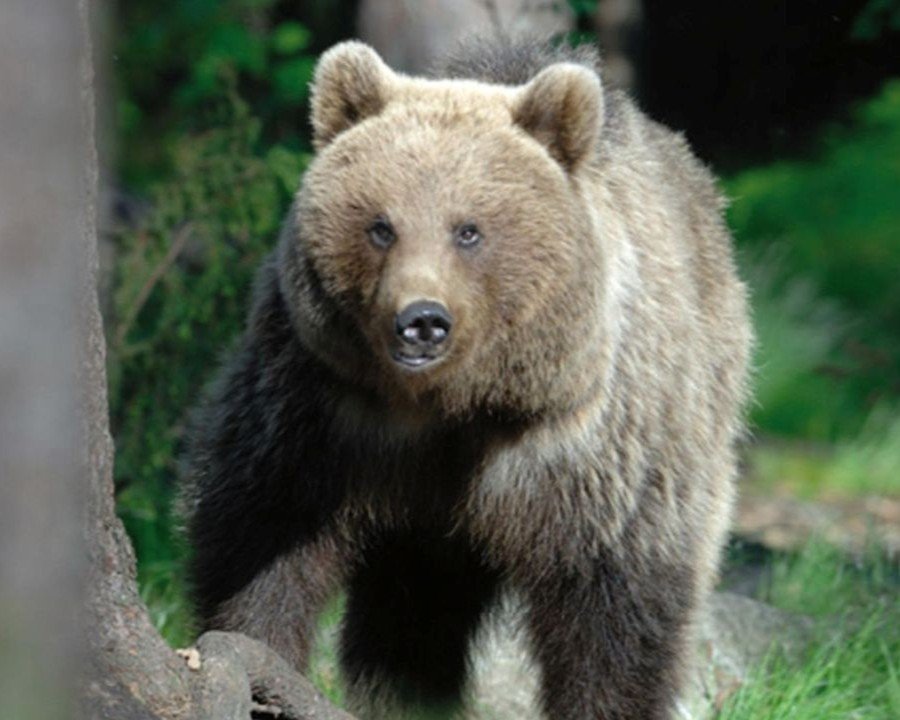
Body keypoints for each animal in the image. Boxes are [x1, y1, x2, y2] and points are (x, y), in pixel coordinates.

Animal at [181, 37, 752, 720]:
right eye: (381, 225)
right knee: (413, 613)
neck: (456, 406)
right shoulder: (319, 403)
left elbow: (615, 604)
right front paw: (257, 661)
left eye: (469, 229)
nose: (422, 321)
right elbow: (261, 534)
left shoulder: (591, 446)